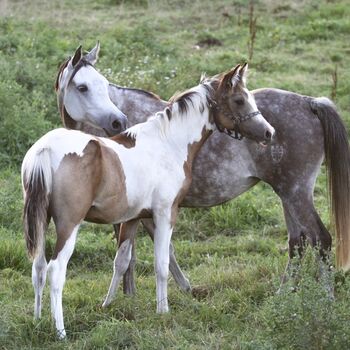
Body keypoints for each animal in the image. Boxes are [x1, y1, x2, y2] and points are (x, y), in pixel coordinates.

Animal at [21, 63, 274, 340]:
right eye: (239, 100)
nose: (268, 132)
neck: (168, 144)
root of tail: (45, 149)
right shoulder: (165, 213)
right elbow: (161, 263)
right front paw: (163, 310)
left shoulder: (132, 218)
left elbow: (121, 261)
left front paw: (108, 305)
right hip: (69, 224)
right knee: (55, 270)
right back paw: (60, 332)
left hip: (41, 221)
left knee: (38, 268)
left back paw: (37, 320)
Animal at [55, 43, 350, 296]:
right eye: (82, 87)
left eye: (103, 86)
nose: (117, 122)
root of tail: (309, 101)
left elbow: (137, 252)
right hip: (287, 194)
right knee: (298, 242)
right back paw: (283, 296)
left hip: (296, 193)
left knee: (320, 239)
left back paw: (326, 298)